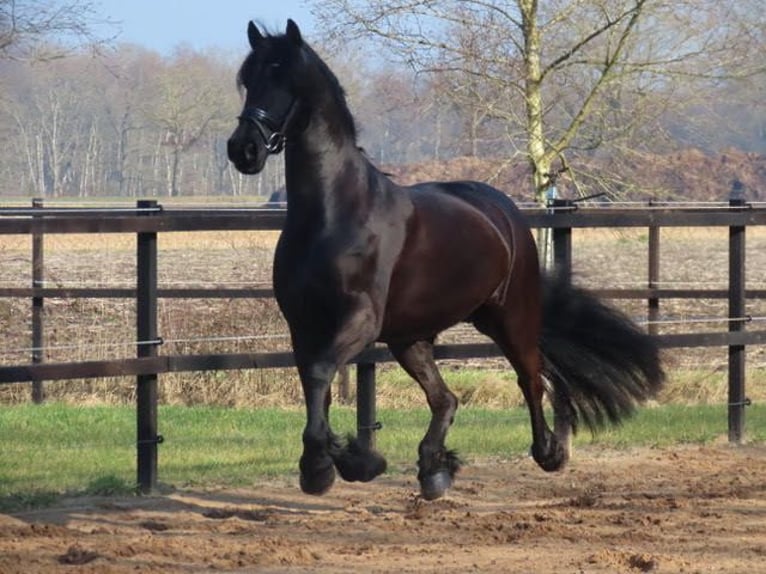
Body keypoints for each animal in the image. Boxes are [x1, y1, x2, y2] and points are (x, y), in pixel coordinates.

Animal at [227, 20, 665, 500]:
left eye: (285, 78)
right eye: (249, 80)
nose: (243, 149)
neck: (333, 213)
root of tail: (503, 211)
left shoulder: (360, 320)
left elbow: (322, 372)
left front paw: (334, 464)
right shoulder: (304, 323)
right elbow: (314, 382)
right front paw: (338, 463)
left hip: (508, 317)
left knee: (530, 377)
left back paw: (548, 452)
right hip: (411, 337)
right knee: (445, 398)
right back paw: (434, 469)